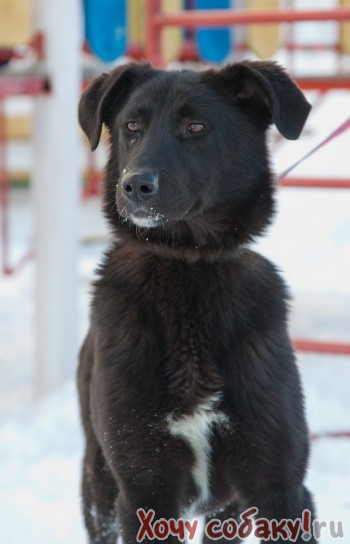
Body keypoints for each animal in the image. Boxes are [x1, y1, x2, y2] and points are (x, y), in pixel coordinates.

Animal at [78, 61, 314, 540]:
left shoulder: (282, 488)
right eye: (132, 126)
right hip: (99, 486)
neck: (187, 268)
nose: (135, 185)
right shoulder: (144, 490)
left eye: (196, 127)